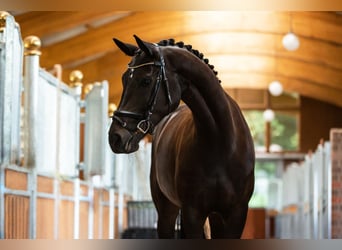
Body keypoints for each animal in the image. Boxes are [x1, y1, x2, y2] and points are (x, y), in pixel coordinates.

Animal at [108, 34, 255, 238]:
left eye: (145, 81)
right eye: (123, 80)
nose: (115, 137)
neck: (220, 140)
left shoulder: (236, 214)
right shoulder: (192, 213)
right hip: (167, 211)